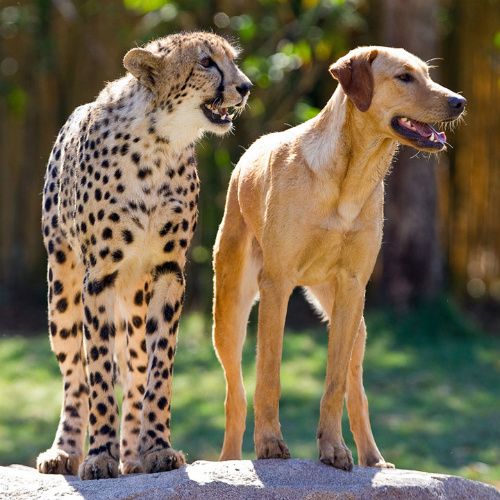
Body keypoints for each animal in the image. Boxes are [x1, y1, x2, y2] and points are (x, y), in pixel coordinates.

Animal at [36, 31, 250, 480]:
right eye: (206, 62)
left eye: (232, 61)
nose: (245, 87)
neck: (158, 144)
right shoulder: (99, 275)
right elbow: (98, 373)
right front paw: (100, 454)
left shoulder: (169, 271)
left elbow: (158, 369)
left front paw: (156, 448)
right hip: (62, 288)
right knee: (73, 375)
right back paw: (65, 450)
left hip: (134, 296)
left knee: (134, 369)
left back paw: (132, 455)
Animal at [211, 45, 464, 470]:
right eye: (404, 77)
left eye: (427, 75)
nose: (459, 101)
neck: (350, 175)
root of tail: (248, 154)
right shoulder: (276, 285)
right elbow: (269, 377)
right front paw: (269, 444)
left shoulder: (352, 287)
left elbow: (334, 385)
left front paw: (332, 448)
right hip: (230, 314)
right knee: (236, 396)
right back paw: (229, 460)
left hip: (356, 324)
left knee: (356, 392)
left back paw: (374, 459)